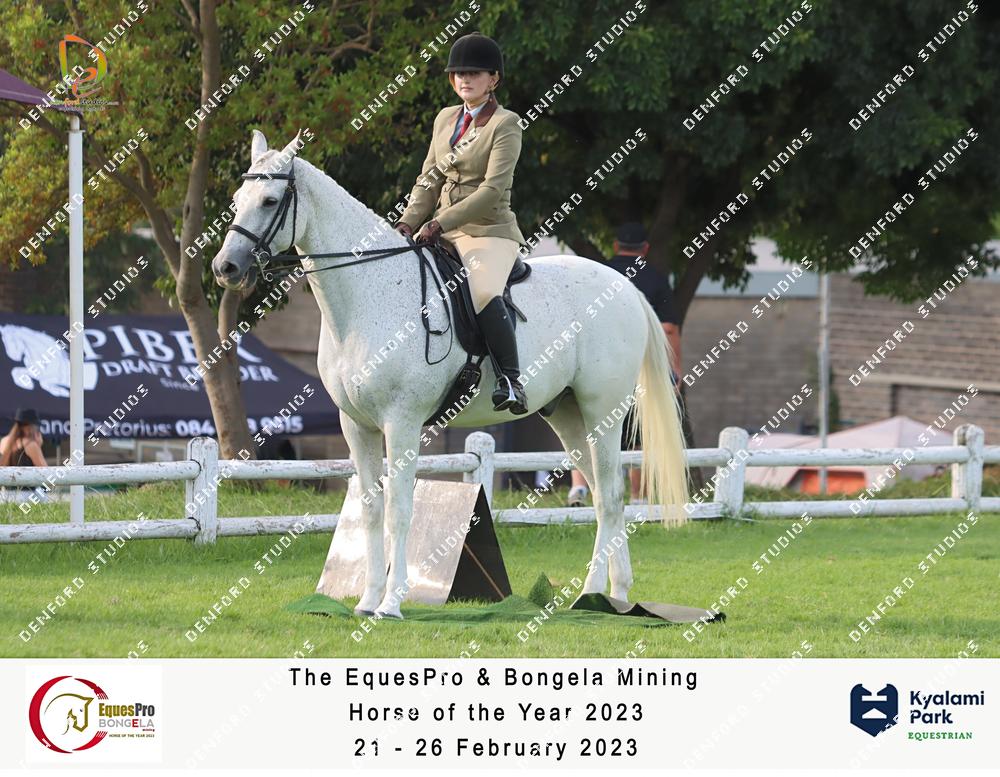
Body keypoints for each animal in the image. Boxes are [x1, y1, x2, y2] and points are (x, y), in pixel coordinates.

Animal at [211, 130, 689, 619]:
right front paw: (366, 600)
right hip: (568, 416)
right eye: (236, 199)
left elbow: (401, 509)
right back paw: (615, 594)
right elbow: (371, 510)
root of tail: (623, 285)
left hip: (602, 412)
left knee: (610, 497)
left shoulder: (400, 422)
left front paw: (391, 603)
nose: (225, 267)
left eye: (270, 200)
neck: (368, 292)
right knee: (602, 494)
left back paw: (591, 594)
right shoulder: (356, 426)